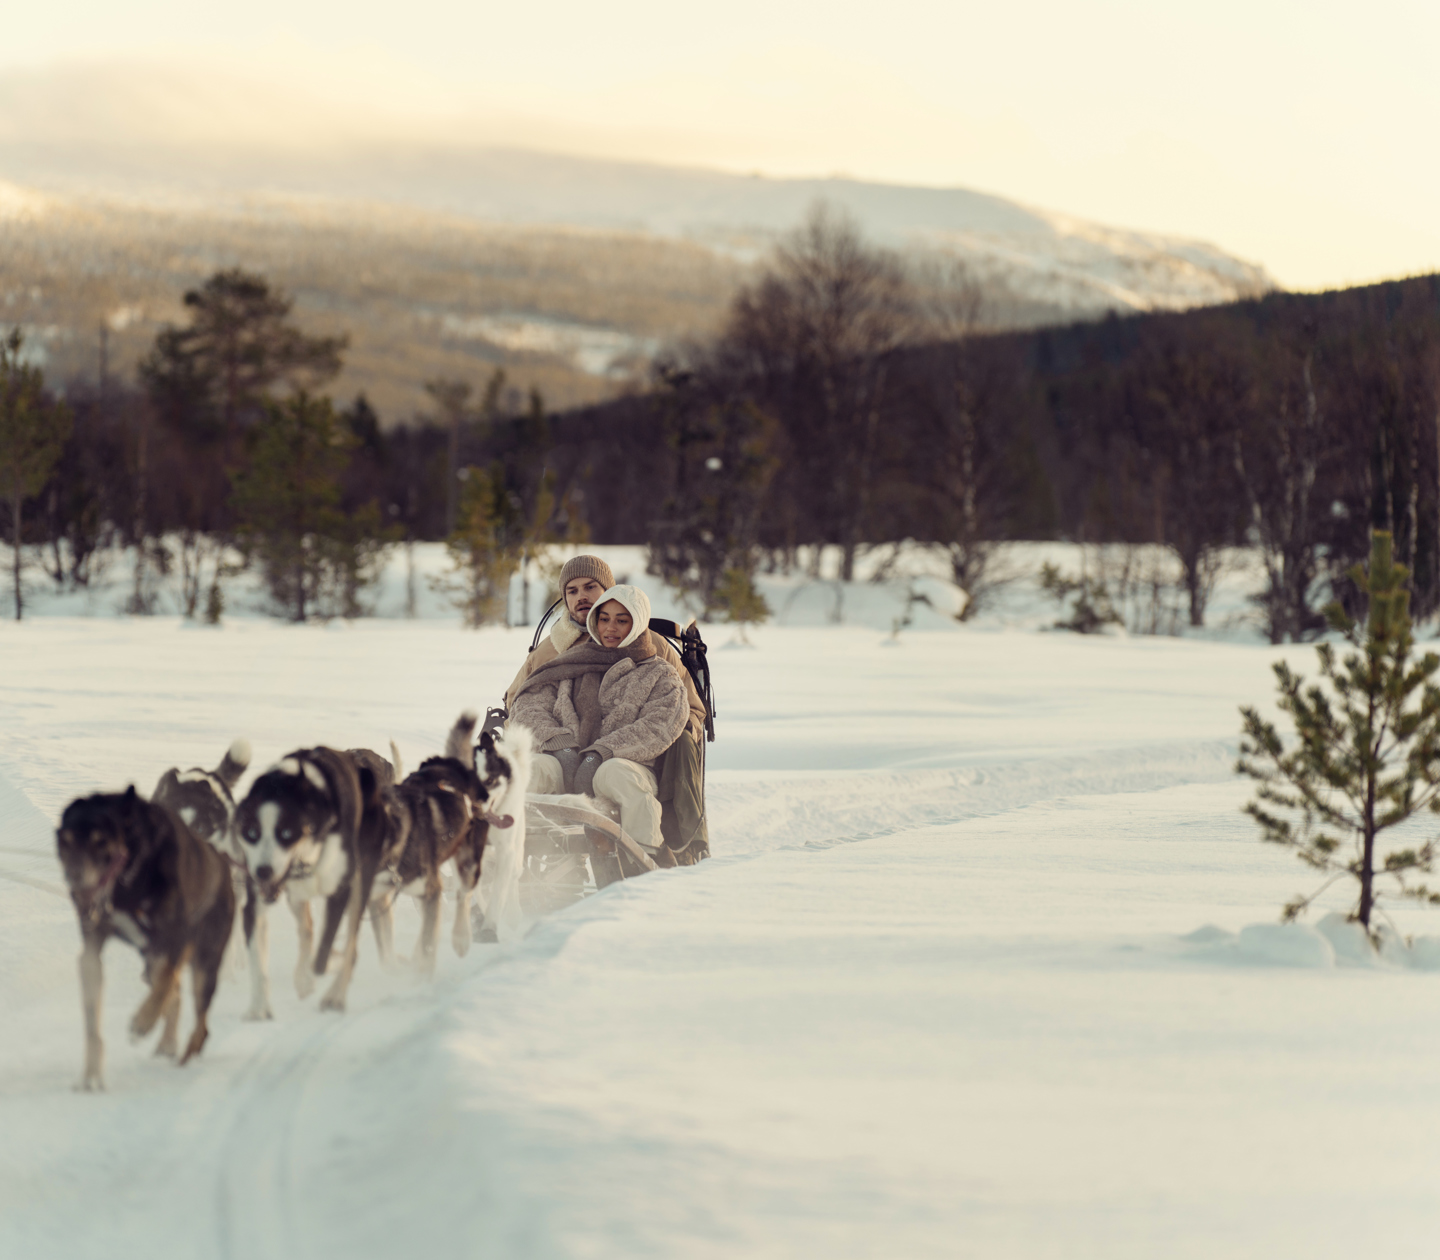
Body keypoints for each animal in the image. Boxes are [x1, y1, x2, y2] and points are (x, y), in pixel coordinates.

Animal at [56, 789, 234, 1094]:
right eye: (66, 841)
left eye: (100, 841)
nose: (73, 877)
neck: (128, 882)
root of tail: (222, 861)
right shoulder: (91, 950)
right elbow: (92, 1024)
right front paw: (90, 1074)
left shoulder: (176, 937)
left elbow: (164, 987)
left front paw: (143, 1021)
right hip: (152, 961)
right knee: (174, 995)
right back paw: (168, 1043)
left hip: (204, 963)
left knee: (199, 1021)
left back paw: (186, 1054)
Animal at [237, 748, 391, 1013]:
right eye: (251, 832)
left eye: (286, 833)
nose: (263, 871)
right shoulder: (255, 903)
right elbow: (259, 961)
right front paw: (258, 1008)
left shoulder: (339, 891)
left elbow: (322, 958)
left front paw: (329, 965)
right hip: (297, 896)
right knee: (307, 929)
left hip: (360, 883)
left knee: (350, 942)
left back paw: (334, 995)